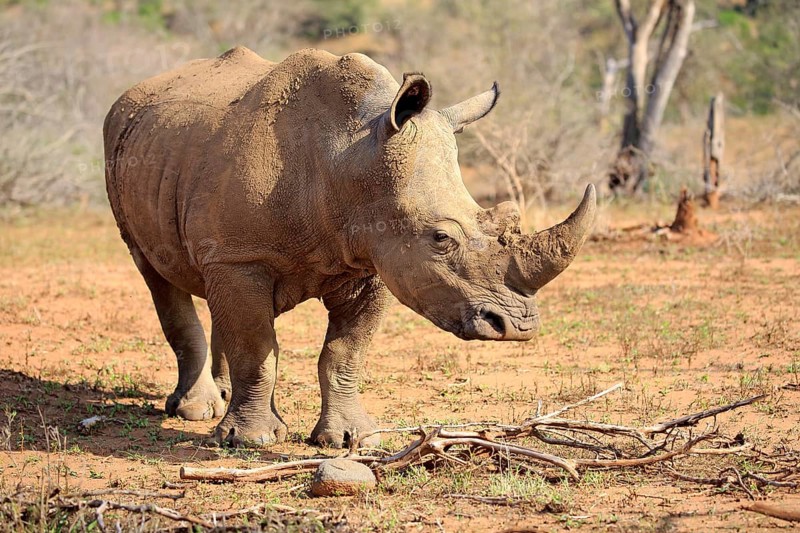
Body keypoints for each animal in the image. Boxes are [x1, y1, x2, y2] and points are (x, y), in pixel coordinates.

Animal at [104, 46, 596, 447]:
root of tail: (132, 93)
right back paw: (197, 410)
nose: (518, 327)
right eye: (441, 239)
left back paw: (222, 396)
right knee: (156, 273)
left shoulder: (373, 260)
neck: (350, 157)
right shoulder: (242, 256)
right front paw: (251, 440)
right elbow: (257, 347)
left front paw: (350, 438)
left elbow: (344, 352)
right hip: (124, 147)